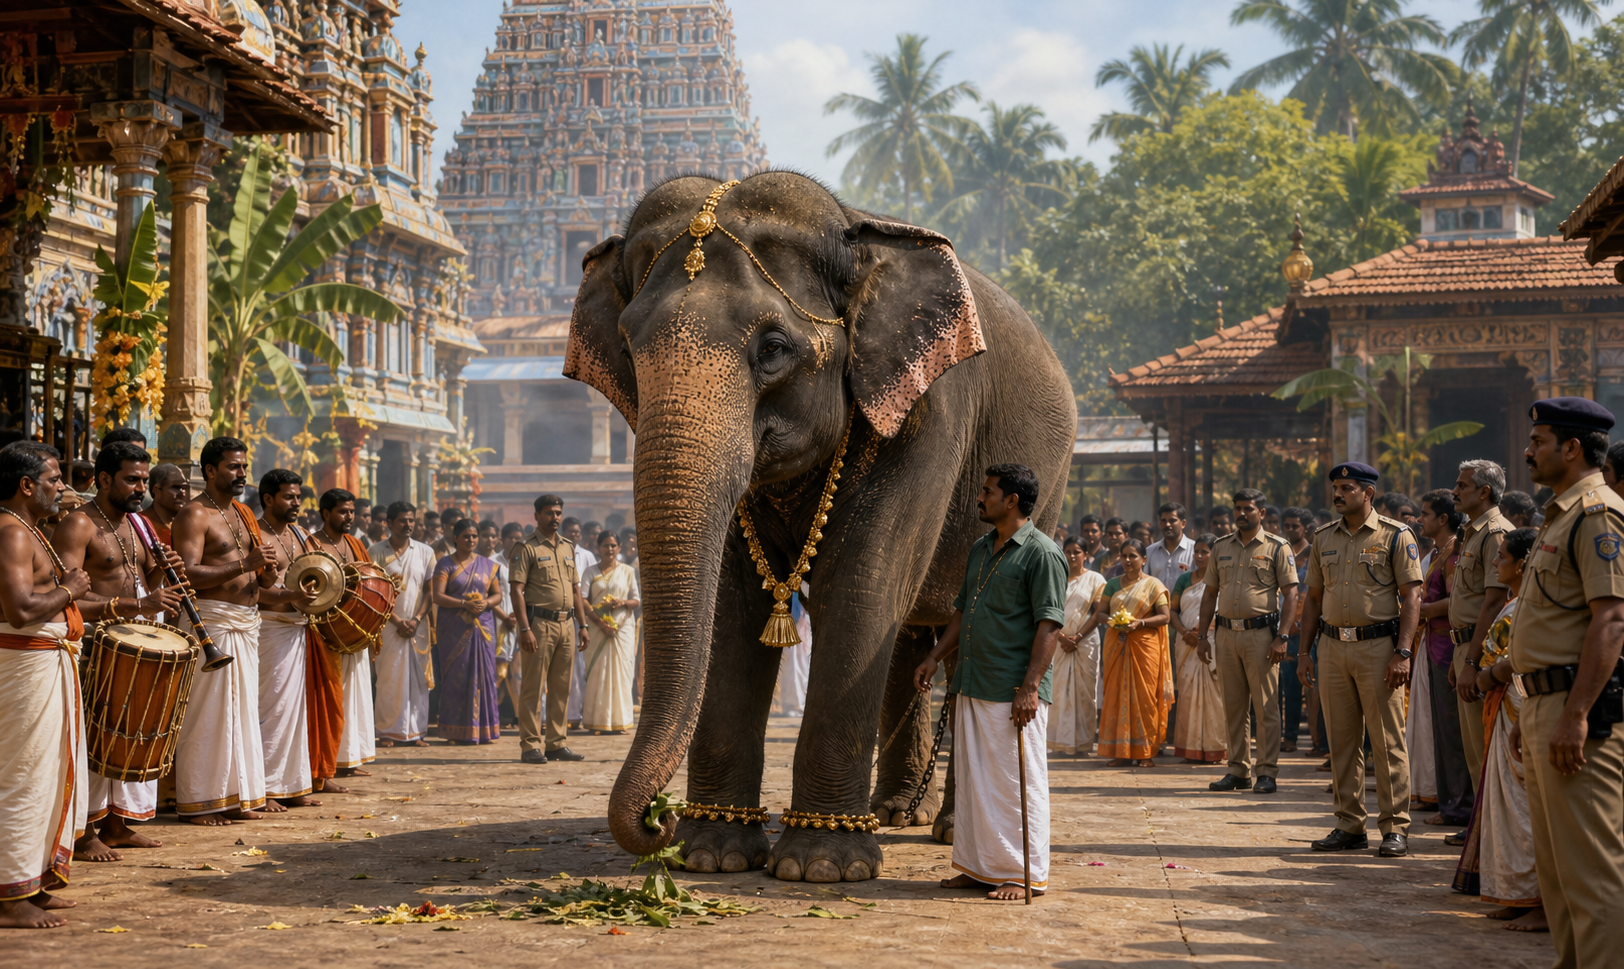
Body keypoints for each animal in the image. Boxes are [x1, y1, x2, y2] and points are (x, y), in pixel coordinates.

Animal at [563, 171, 1076, 882]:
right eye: (631, 346)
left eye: (774, 349)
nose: (655, 818)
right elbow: (733, 606)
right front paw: (712, 855)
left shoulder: (929, 412)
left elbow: (860, 590)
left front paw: (824, 867)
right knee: (915, 636)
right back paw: (895, 813)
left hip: (1049, 486)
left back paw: (946, 831)